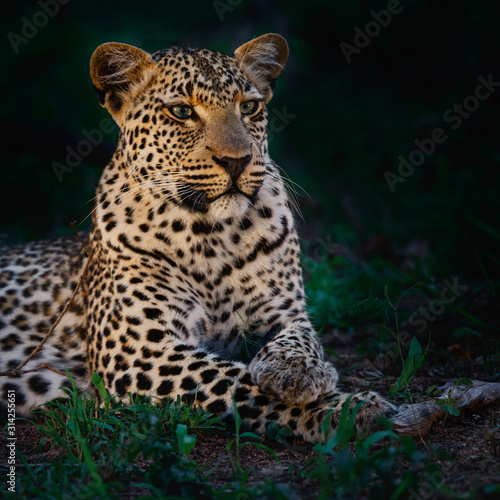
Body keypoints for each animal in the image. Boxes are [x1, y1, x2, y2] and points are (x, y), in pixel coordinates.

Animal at [0, 34, 394, 442]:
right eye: (182, 112)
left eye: (249, 107)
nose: (237, 161)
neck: (211, 234)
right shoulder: (136, 351)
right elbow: (232, 381)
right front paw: (350, 409)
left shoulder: (284, 312)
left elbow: (301, 339)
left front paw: (297, 372)